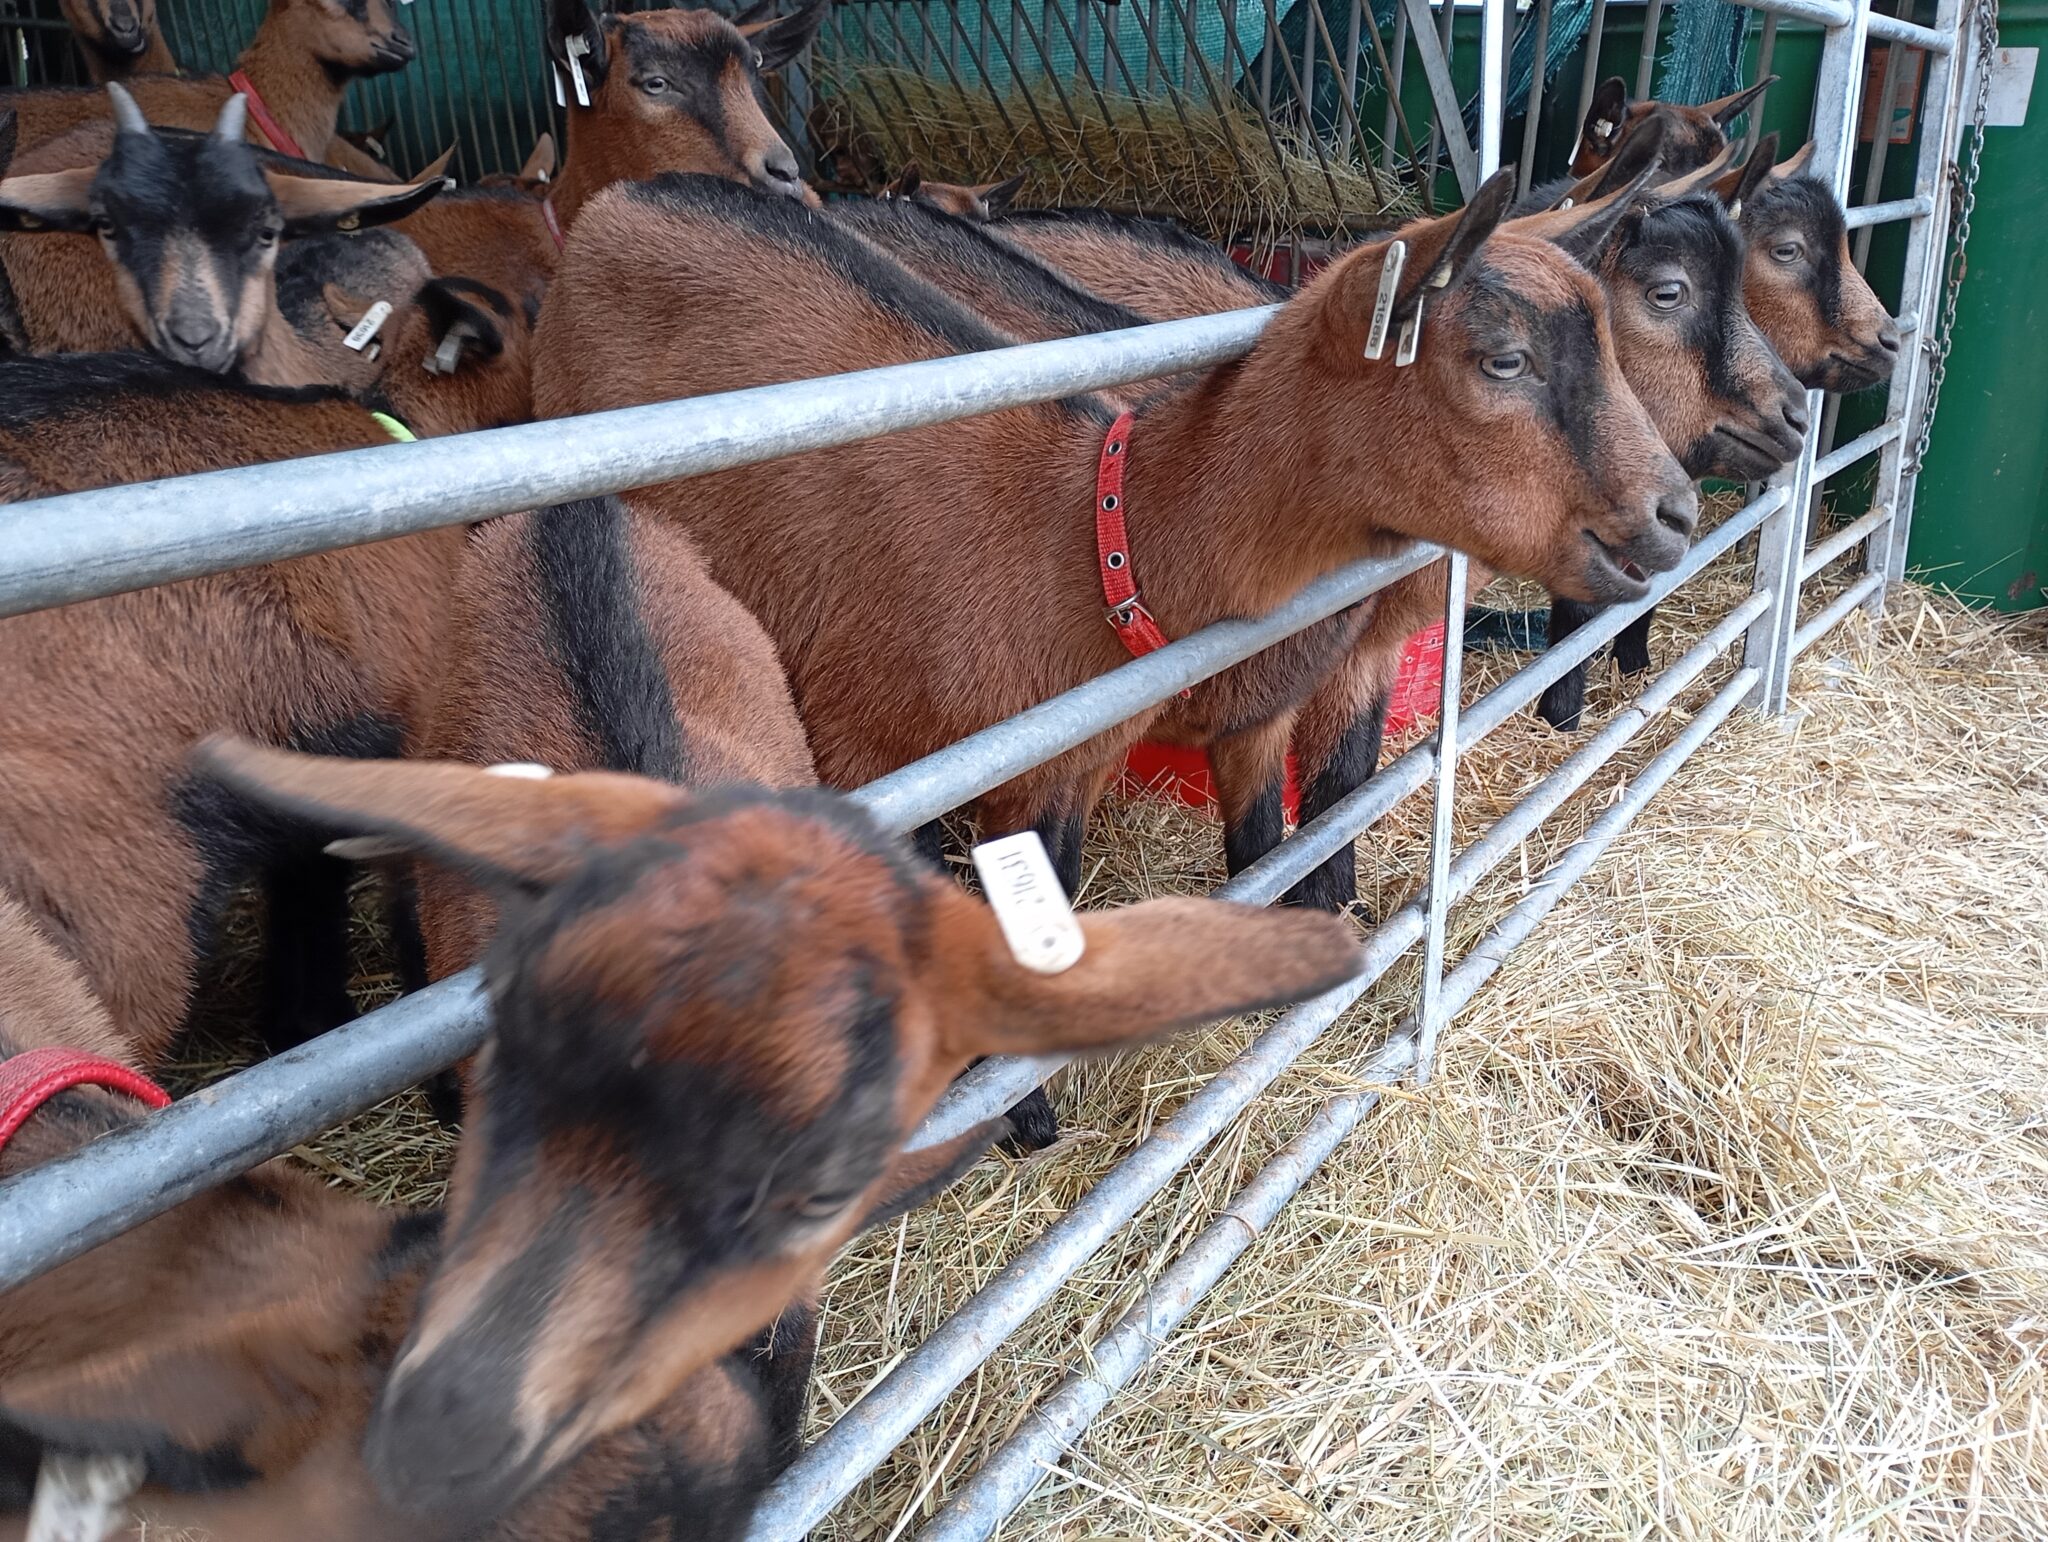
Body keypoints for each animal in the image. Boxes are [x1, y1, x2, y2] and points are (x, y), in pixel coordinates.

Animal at [532, 167, 1695, 888]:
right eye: (1503, 359)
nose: (1675, 510)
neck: (1095, 529)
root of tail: (627, 193)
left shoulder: (1145, 749)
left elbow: (1270, 857)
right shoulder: (872, 760)